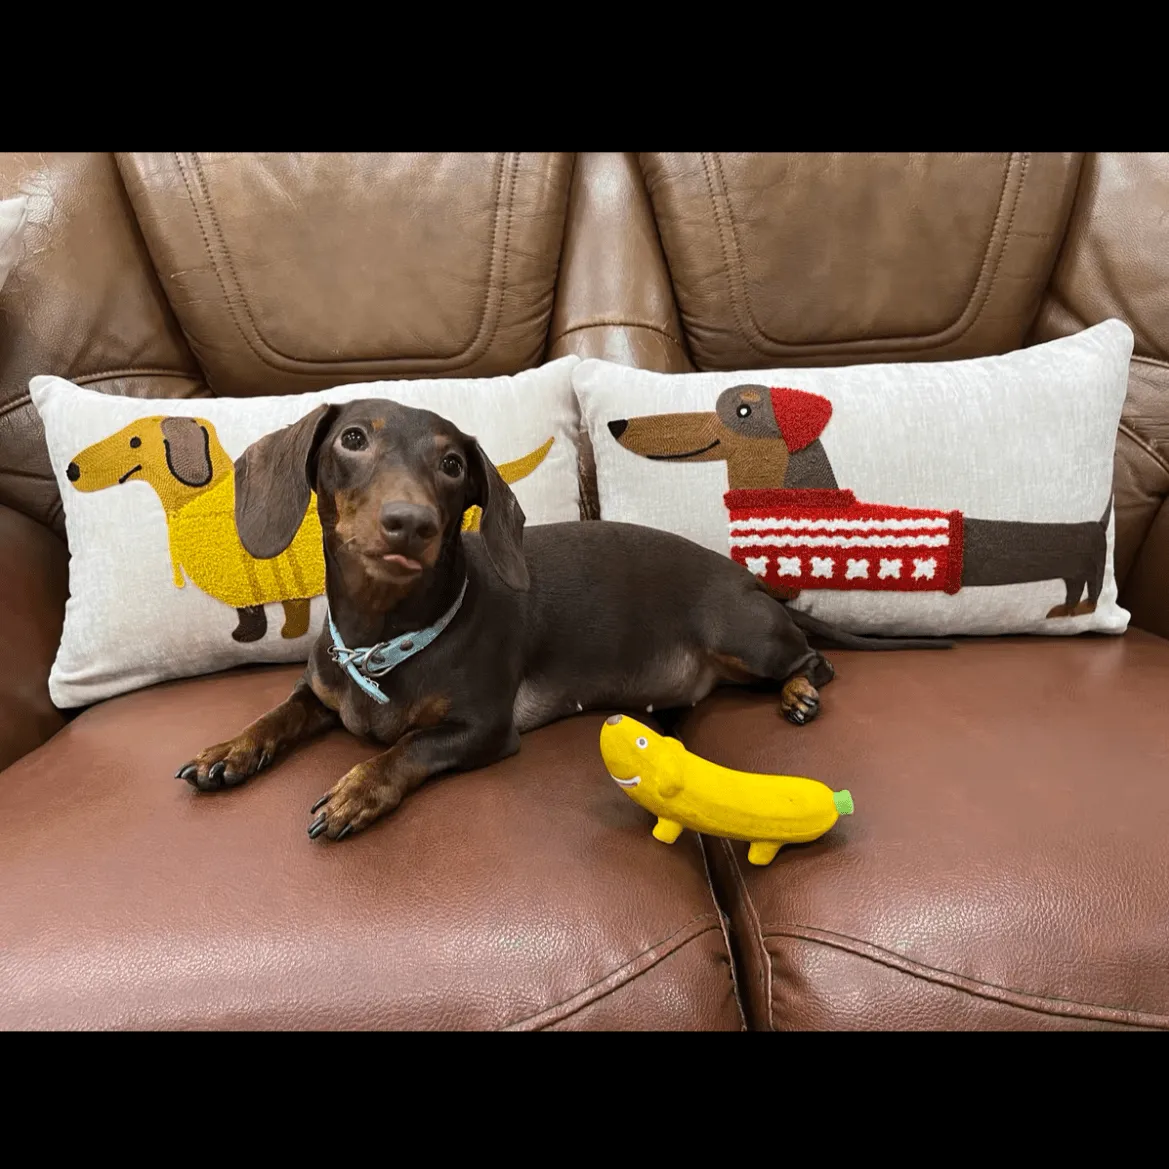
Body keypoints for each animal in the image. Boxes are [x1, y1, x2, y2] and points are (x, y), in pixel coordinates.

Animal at [177, 402, 944, 841]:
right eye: (354, 439)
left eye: (451, 463)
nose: (410, 524)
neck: (382, 641)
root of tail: (746, 578)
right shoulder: (319, 692)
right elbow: (276, 714)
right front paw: (229, 749)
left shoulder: (482, 729)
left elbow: (405, 749)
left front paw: (358, 789)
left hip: (744, 637)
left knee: (812, 658)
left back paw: (799, 692)